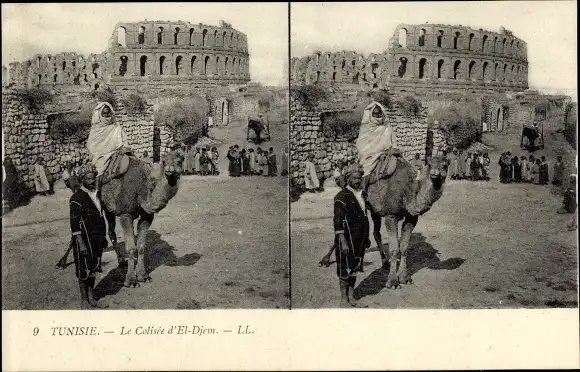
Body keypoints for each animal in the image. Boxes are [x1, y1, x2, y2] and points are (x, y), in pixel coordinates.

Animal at [101, 150, 184, 288]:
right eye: (163, 161)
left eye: (179, 160)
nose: (169, 169)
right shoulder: (125, 214)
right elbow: (131, 248)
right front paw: (131, 281)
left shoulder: (147, 216)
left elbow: (141, 246)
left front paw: (142, 276)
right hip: (106, 207)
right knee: (111, 232)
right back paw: (121, 262)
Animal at [368, 155, 448, 290]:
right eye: (429, 164)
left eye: (445, 165)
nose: (434, 173)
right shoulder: (391, 215)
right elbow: (394, 249)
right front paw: (392, 282)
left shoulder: (412, 217)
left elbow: (404, 247)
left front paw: (405, 278)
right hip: (373, 208)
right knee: (375, 232)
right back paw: (384, 263)